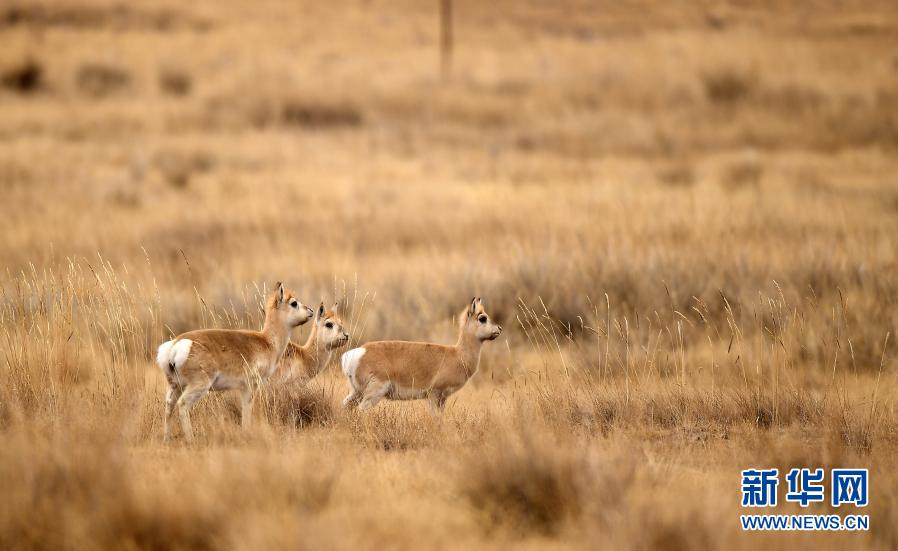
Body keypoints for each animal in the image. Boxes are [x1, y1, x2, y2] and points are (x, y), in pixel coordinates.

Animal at [155, 282, 313, 442]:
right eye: (294, 303)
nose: (311, 311)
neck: (267, 341)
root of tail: (176, 344)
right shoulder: (250, 387)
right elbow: (247, 411)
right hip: (198, 386)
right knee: (183, 404)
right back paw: (191, 439)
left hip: (175, 386)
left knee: (169, 405)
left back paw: (166, 439)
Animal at [341, 297, 502, 414]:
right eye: (482, 318)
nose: (499, 328)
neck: (457, 355)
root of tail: (360, 351)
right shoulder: (434, 395)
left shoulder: (442, 399)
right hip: (373, 394)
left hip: (356, 393)